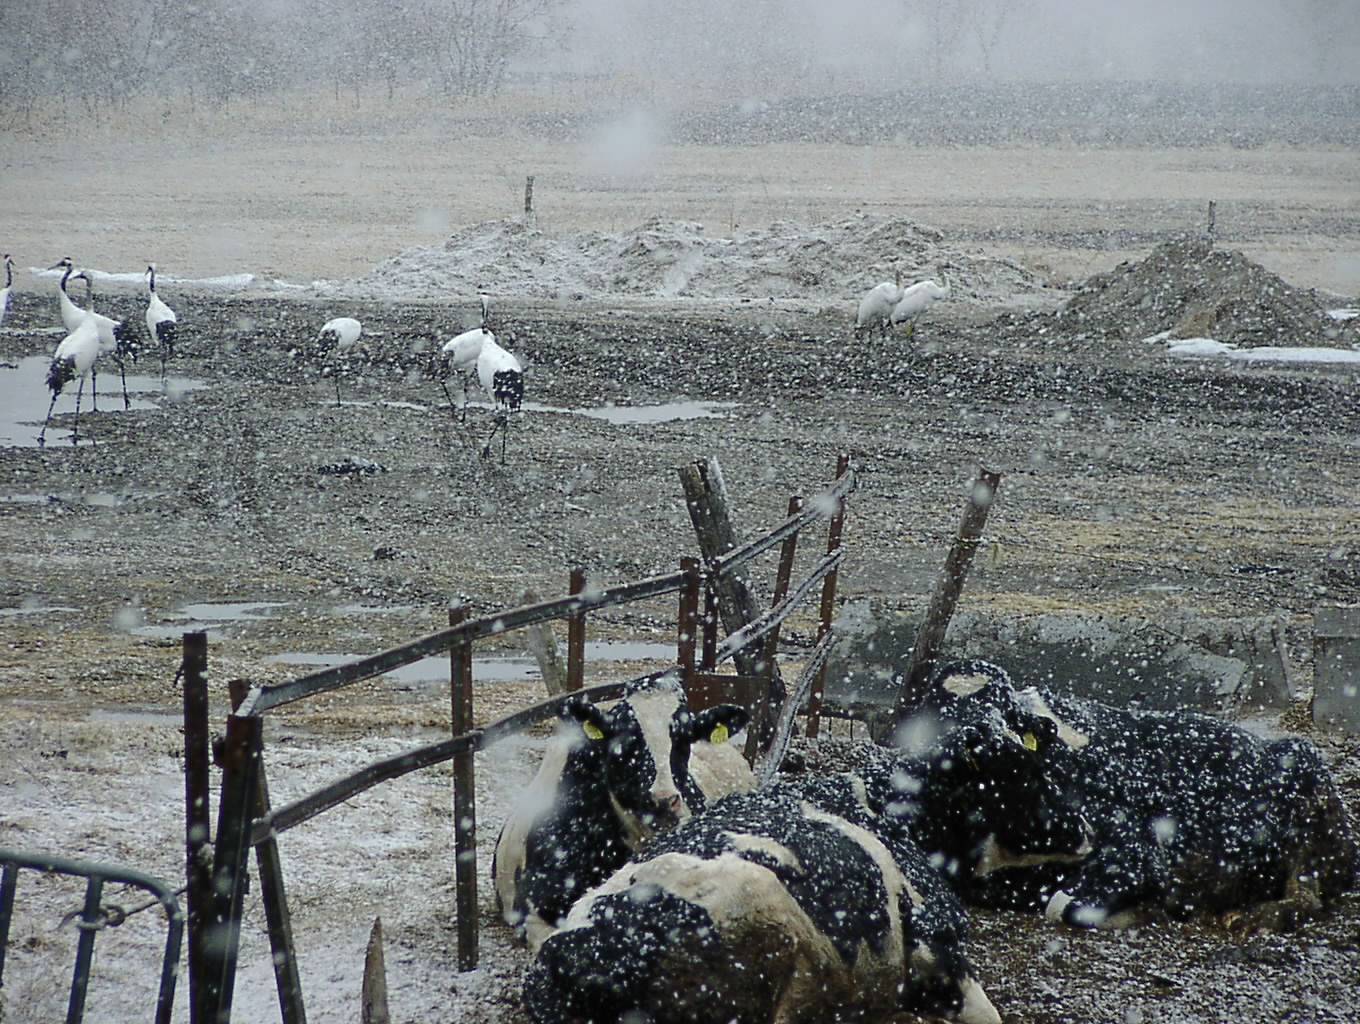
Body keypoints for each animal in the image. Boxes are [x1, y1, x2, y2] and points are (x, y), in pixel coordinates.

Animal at [919, 658, 1354, 930]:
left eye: (1007, 714)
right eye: (945, 718)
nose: (986, 739)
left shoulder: (1136, 847)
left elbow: (1062, 905)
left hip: (1308, 784)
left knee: (1308, 894)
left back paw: (1257, 917)